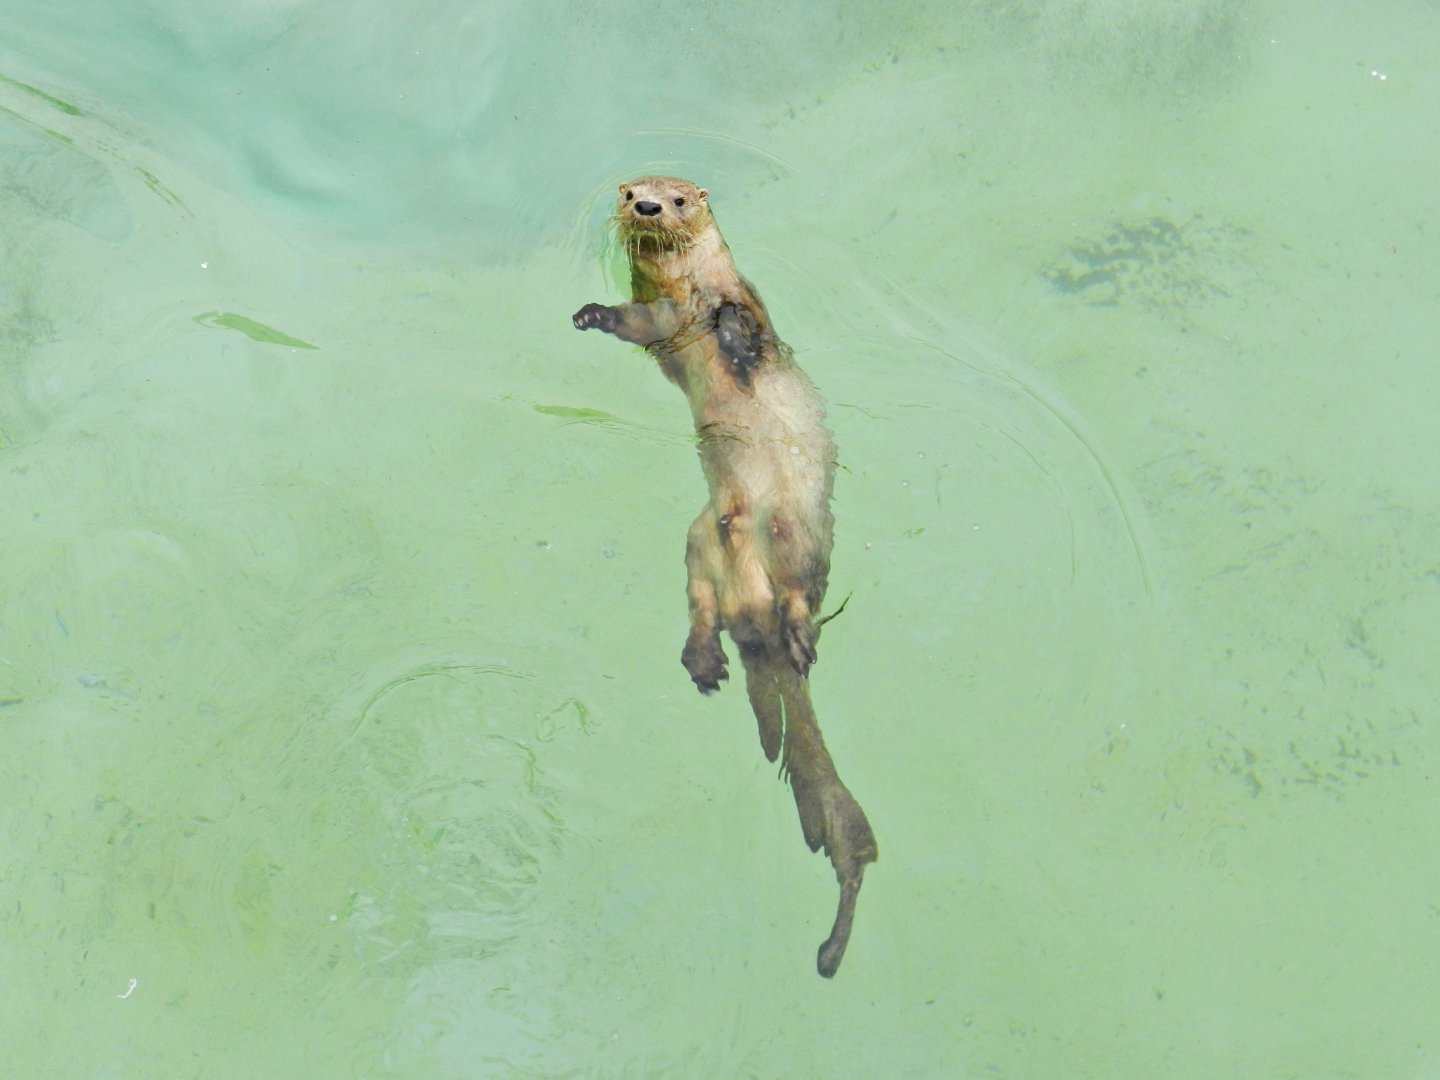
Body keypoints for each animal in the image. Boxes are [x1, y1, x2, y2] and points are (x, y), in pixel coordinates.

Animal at [572, 176, 878, 977]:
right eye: (632, 188)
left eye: (677, 197)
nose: (646, 206)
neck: (688, 293)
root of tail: (757, 614)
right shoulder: (657, 323)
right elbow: (632, 325)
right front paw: (589, 314)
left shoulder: (736, 302)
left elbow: (746, 330)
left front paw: (734, 340)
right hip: (699, 536)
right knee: (704, 601)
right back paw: (705, 657)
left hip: (796, 530)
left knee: (801, 592)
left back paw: (798, 639)